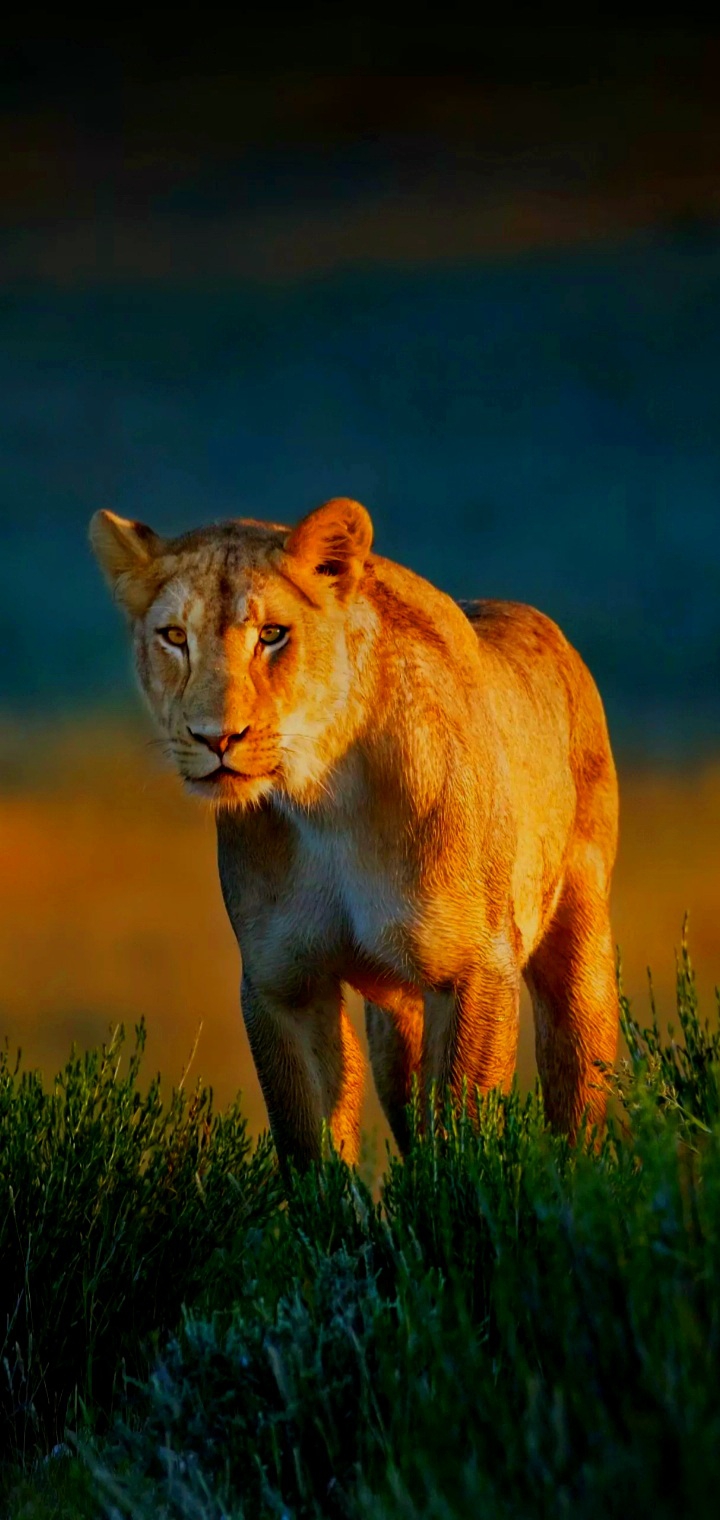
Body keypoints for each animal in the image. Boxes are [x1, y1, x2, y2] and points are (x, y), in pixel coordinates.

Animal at [90, 496, 619, 1166]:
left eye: (272, 635)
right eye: (175, 637)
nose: (217, 738)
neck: (325, 801)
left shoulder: (475, 967)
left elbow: (462, 1136)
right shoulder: (282, 984)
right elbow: (312, 1148)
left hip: (578, 945)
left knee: (578, 1087)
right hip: (397, 1015)